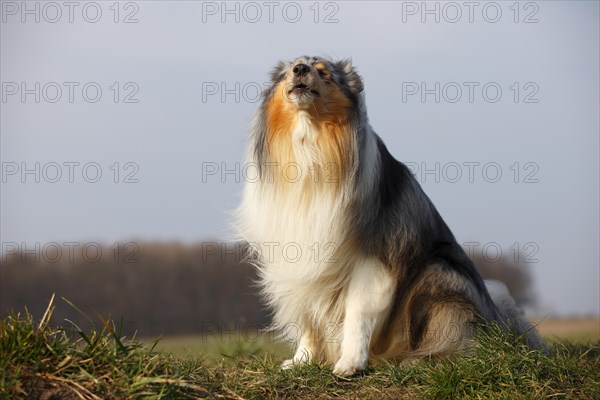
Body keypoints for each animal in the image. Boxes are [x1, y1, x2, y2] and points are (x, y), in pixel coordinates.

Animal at [236, 55, 544, 376]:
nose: (299, 70)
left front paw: (349, 364)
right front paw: (301, 361)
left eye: (323, 72)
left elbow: (357, 313)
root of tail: (500, 325)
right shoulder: (299, 258)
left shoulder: (374, 256)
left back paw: (418, 360)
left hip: (438, 271)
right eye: (291, 69)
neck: (310, 142)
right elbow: (309, 315)